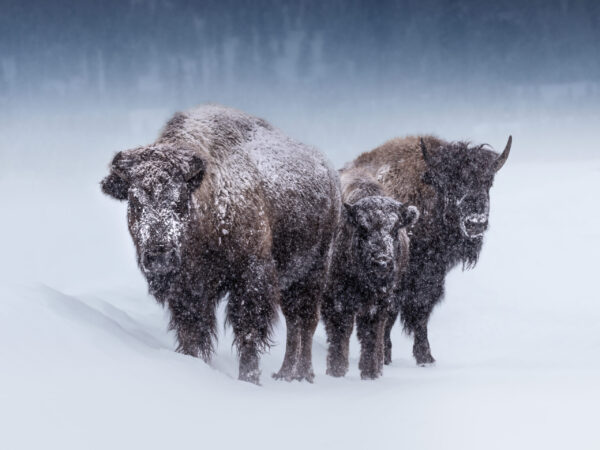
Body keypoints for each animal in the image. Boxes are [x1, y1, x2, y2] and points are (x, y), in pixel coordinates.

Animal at [101, 104, 340, 384]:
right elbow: (192, 332)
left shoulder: (251, 276)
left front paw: (249, 378)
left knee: (306, 321)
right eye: (134, 202)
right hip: (290, 279)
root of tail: (330, 175)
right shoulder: (188, 288)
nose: (160, 254)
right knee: (293, 322)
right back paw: (284, 374)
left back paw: (302, 374)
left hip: (314, 270)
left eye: (180, 200)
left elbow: (248, 331)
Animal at [324, 168, 418, 380]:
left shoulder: (379, 306)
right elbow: (340, 336)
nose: (381, 260)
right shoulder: (337, 304)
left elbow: (371, 338)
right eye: (362, 227)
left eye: (395, 228)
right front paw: (336, 372)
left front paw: (371, 374)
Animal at [346, 134, 510, 366]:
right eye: (452, 183)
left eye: (488, 182)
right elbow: (391, 314)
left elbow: (421, 312)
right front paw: (386, 356)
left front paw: (425, 358)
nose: (475, 223)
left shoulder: (432, 277)